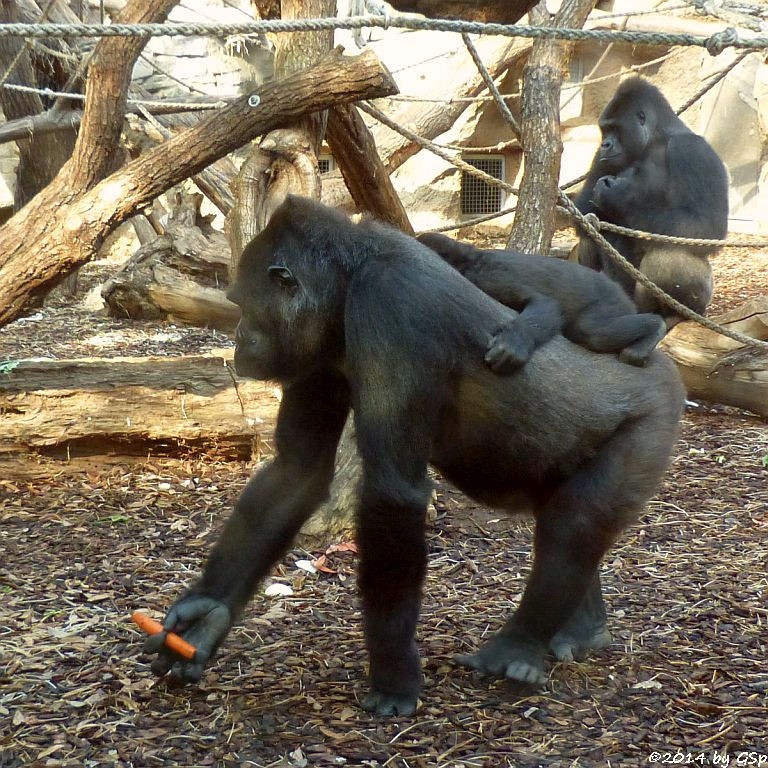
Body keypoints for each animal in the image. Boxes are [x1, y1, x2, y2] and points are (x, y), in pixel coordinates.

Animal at [416, 231, 664, 368]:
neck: (468, 259)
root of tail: (621, 292)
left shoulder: (489, 277)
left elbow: (544, 303)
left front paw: (514, 342)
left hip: (612, 303)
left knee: (592, 331)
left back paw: (655, 327)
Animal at [580, 77, 728, 328]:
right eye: (605, 130)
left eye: (615, 128)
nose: (605, 144)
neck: (655, 138)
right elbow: (583, 210)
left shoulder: (694, 151)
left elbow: (706, 227)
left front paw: (617, 196)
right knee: (589, 235)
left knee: (669, 256)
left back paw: (674, 314)